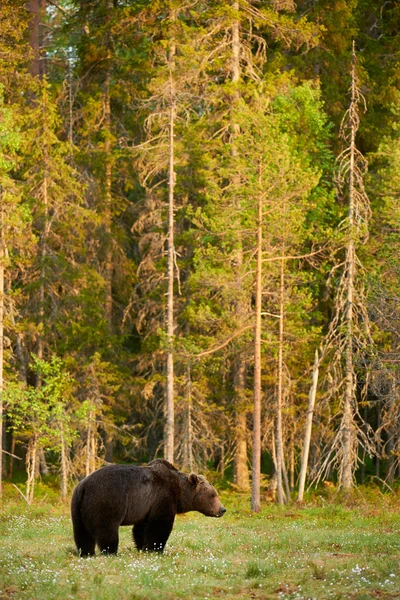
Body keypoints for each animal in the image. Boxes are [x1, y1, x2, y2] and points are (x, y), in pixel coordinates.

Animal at [70, 460, 227, 556]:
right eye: (213, 495)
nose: (222, 509)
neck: (179, 491)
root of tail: (84, 486)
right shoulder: (162, 497)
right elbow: (159, 525)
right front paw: (156, 549)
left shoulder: (146, 506)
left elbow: (141, 528)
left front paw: (142, 547)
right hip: (107, 500)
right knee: (107, 529)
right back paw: (111, 551)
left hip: (78, 506)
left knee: (82, 533)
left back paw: (86, 553)